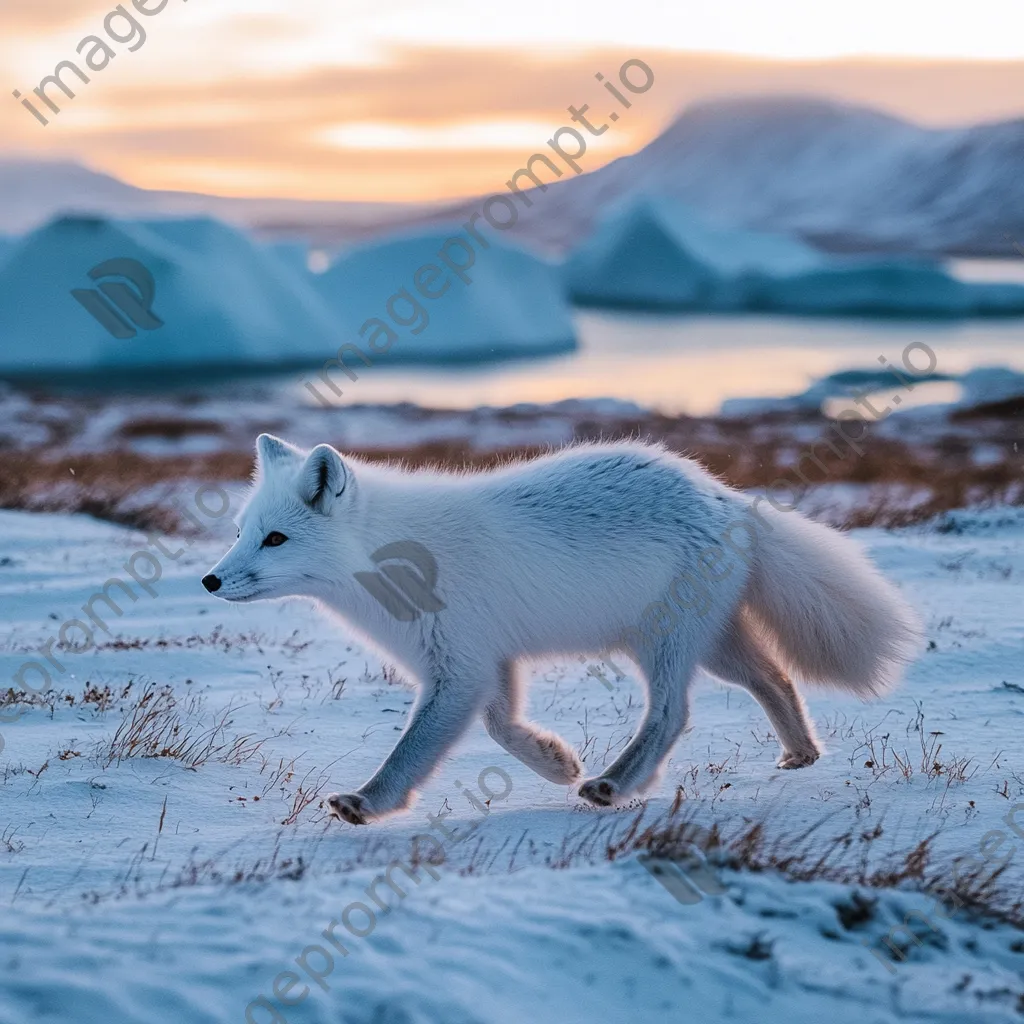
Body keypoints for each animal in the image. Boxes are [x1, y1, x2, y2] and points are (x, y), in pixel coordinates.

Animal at [205, 432, 921, 823]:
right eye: (240, 531)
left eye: (275, 538)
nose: (210, 581)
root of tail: (726, 497)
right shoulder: (483, 662)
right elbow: (501, 725)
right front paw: (554, 761)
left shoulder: (459, 667)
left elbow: (412, 749)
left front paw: (367, 803)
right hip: (713, 645)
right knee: (774, 676)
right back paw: (800, 754)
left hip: (665, 644)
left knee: (673, 714)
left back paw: (613, 785)